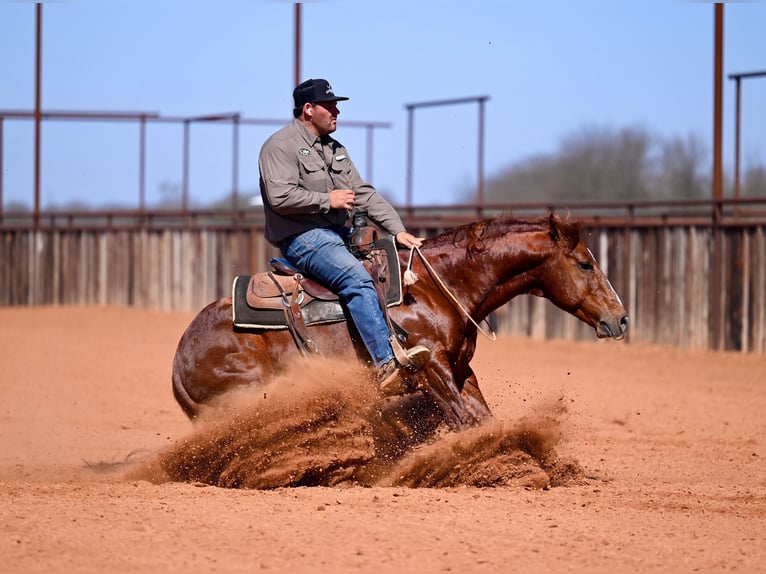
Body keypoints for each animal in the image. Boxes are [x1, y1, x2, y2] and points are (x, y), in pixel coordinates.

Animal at [171, 214, 628, 436]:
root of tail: (178, 361)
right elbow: (463, 421)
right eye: (585, 263)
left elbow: (482, 418)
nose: (621, 318)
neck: (435, 286)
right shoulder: (432, 369)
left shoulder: (460, 368)